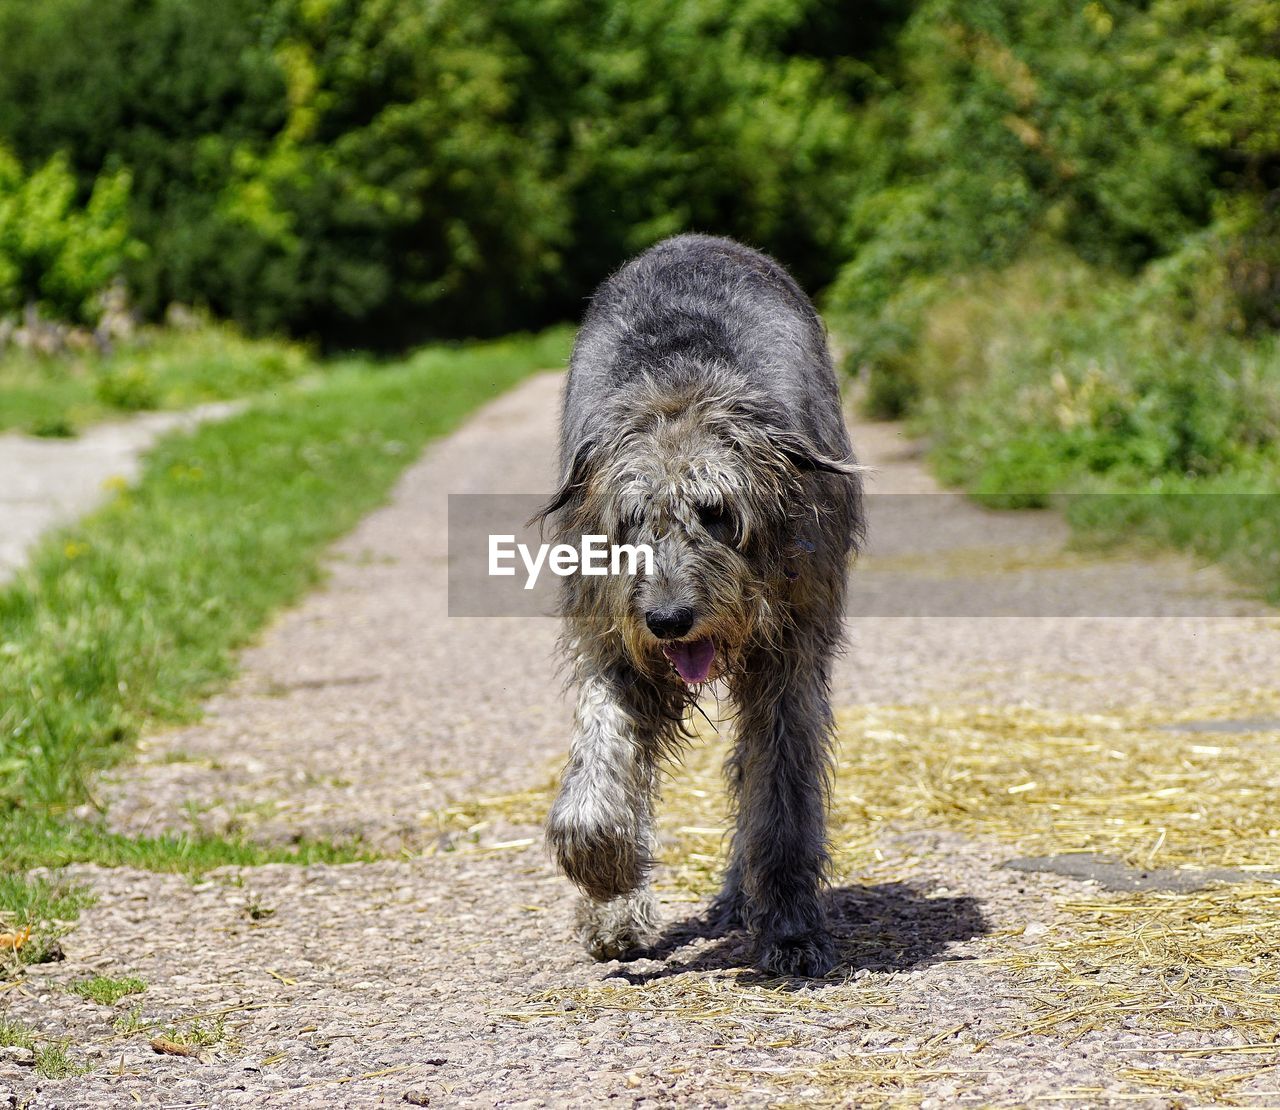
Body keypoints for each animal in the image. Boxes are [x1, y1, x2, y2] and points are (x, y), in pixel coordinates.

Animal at [535, 231, 865, 973]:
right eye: (631, 520)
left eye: (717, 513)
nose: (668, 620)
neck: (682, 385)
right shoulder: (613, 636)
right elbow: (600, 766)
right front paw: (608, 885)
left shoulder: (790, 653)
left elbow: (781, 792)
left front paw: (790, 925)